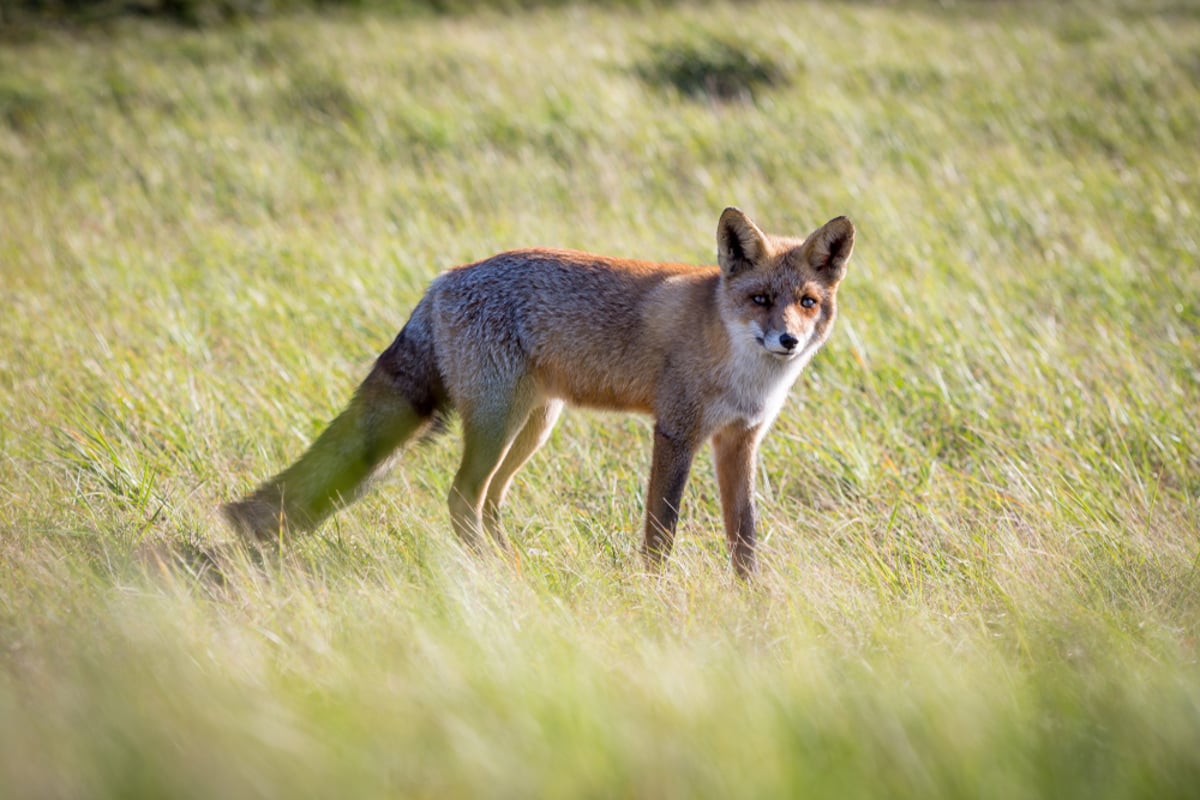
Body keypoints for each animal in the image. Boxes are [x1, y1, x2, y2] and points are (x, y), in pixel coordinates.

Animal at [223, 209, 854, 578]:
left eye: (806, 302)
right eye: (759, 299)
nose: (788, 340)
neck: (740, 366)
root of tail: (441, 280)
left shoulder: (739, 440)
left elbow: (744, 537)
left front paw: (752, 605)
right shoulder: (676, 431)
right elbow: (662, 530)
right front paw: (656, 595)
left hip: (533, 425)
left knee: (489, 503)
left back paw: (513, 568)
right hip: (498, 421)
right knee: (462, 498)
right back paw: (496, 576)